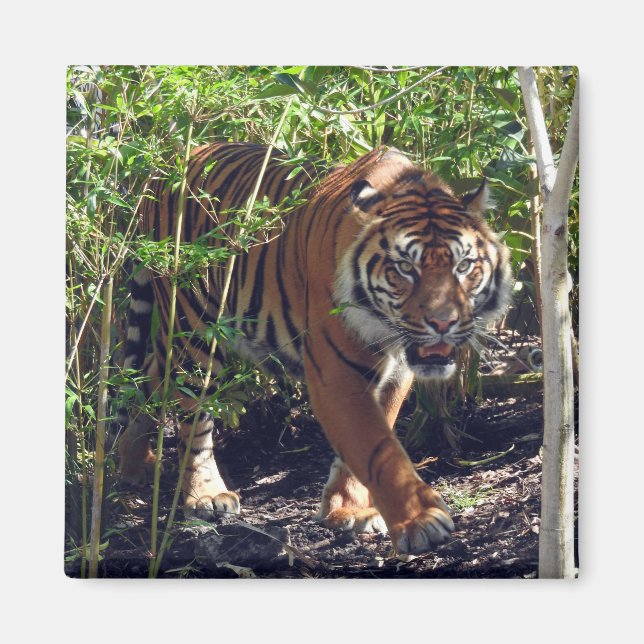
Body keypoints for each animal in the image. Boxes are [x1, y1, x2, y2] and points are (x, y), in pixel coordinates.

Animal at [118, 141, 511, 556]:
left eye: (464, 266)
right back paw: (204, 495)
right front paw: (420, 520)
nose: (443, 323)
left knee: (151, 377)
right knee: (194, 414)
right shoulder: (336, 375)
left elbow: (371, 438)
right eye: (405, 268)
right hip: (194, 329)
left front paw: (347, 510)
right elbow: (379, 448)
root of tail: (178, 153)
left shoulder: (396, 373)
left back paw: (133, 463)